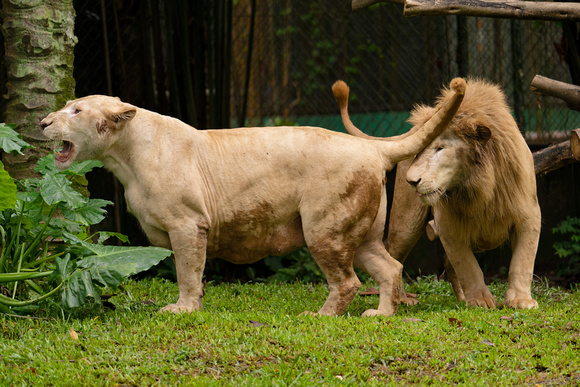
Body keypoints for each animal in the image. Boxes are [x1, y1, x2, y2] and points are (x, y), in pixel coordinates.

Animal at [39, 77, 466, 316]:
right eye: (65, 107)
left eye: (75, 111)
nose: (43, 121)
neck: (123, 156)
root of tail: (372, 147)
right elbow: (189, 272)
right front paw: (193, 307)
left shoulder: (188, 224)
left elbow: (187, 272)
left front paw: (183, 310)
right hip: (360, 235)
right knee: (390, 268)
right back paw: (381, 315)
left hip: (323, 229)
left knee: (347, 282)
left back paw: (321, 317)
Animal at [334, 78, 540, 310]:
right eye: (419, 151)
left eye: (440, 148)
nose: (411, 181)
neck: (477, 185)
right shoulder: (448, 225)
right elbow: (468, 266)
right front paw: (480, 300)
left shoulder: (528, 215)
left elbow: (523, 261)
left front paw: (520, 300)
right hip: (406, 224)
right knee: (395, 257)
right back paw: (402, 299)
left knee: (448, 265)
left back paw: (461, 299)